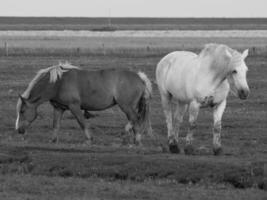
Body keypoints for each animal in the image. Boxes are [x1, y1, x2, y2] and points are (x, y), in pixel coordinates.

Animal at [15, 62, 153, 145]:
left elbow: (82, 122)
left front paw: (88, 140)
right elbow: (56, 125)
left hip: (127, 106)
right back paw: (133, 138)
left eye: (22, 111)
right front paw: (53, 140)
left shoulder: (74, 106)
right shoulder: (59, 108)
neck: (58, 83)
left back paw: (132, 137)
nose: (19, 130)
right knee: (135, 120)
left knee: (134, 119)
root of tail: (140, 77)